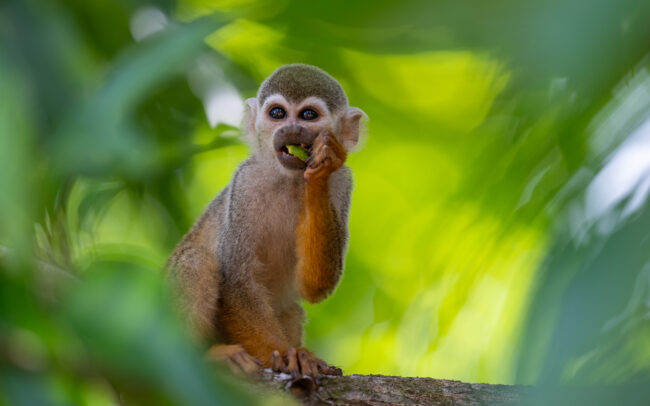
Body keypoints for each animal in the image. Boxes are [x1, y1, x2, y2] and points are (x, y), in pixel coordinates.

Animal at [167, 63, 366, 378]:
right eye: (278, 113)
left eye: (308, 115)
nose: (290, 129)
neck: (289, 180)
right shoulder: (246, 182)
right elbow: (237, 280)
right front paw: (287, 355)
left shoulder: (343, 182)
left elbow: (316, 285)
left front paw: (320, 169)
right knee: (195, 259)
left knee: (292, 308)